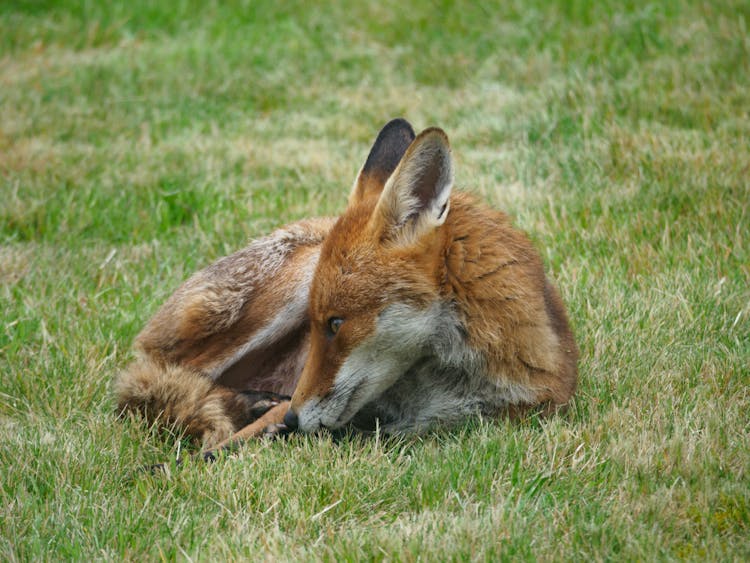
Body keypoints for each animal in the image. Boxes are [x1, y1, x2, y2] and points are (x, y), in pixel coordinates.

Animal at [114, 118, 580, 458]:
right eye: (316, 325)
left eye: (336, 324)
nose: (292, 422)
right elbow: (208, 454)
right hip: (290, 284)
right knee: (164, 380)